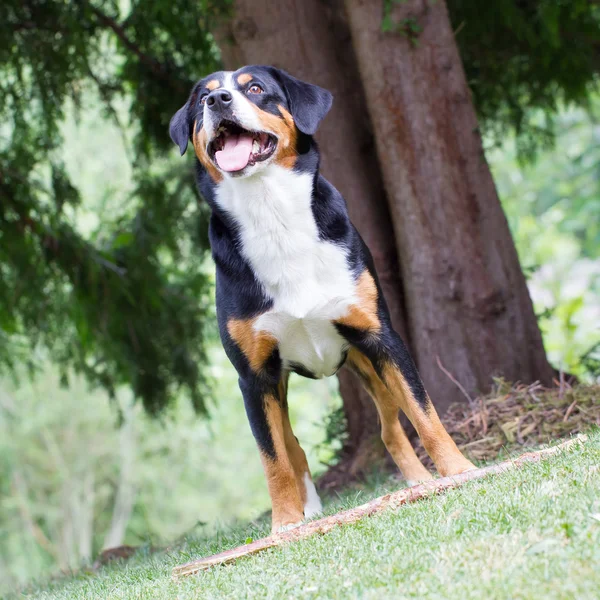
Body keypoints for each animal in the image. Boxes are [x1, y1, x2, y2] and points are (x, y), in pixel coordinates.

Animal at [169, 65, 474, 532]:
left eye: (255, 88)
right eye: (203, 97)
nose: (218, 101)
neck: (273, 216)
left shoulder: (381, 338)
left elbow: (425, 414)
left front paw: (459, 470)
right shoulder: (254, 376)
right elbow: (274, 460)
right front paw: (285, 525)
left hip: (369, 367)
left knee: (390, 430)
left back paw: (420, 482)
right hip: (280, 386)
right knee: (293, 446)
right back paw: (310, 510)